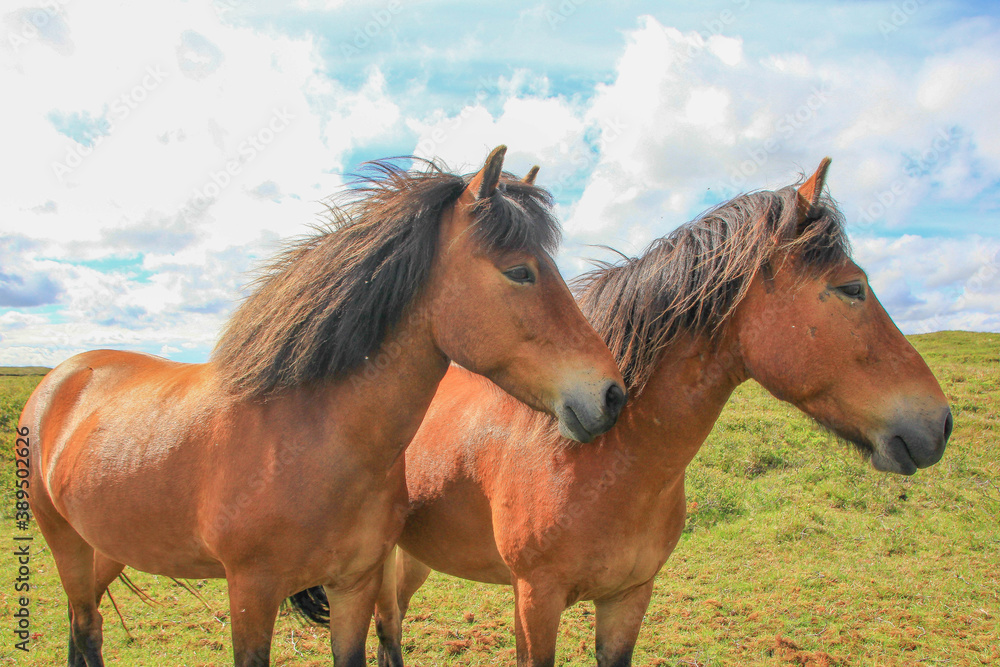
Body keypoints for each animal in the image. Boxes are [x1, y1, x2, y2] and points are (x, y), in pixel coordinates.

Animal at [17, 145, 628, 667]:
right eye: (519, 270)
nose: (612, 394)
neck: (306, 440)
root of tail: (60, 381)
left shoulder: (354, 586)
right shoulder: (251, 591)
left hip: (106, 545)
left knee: (85, 625)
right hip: (64, 542)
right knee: (83, 625)